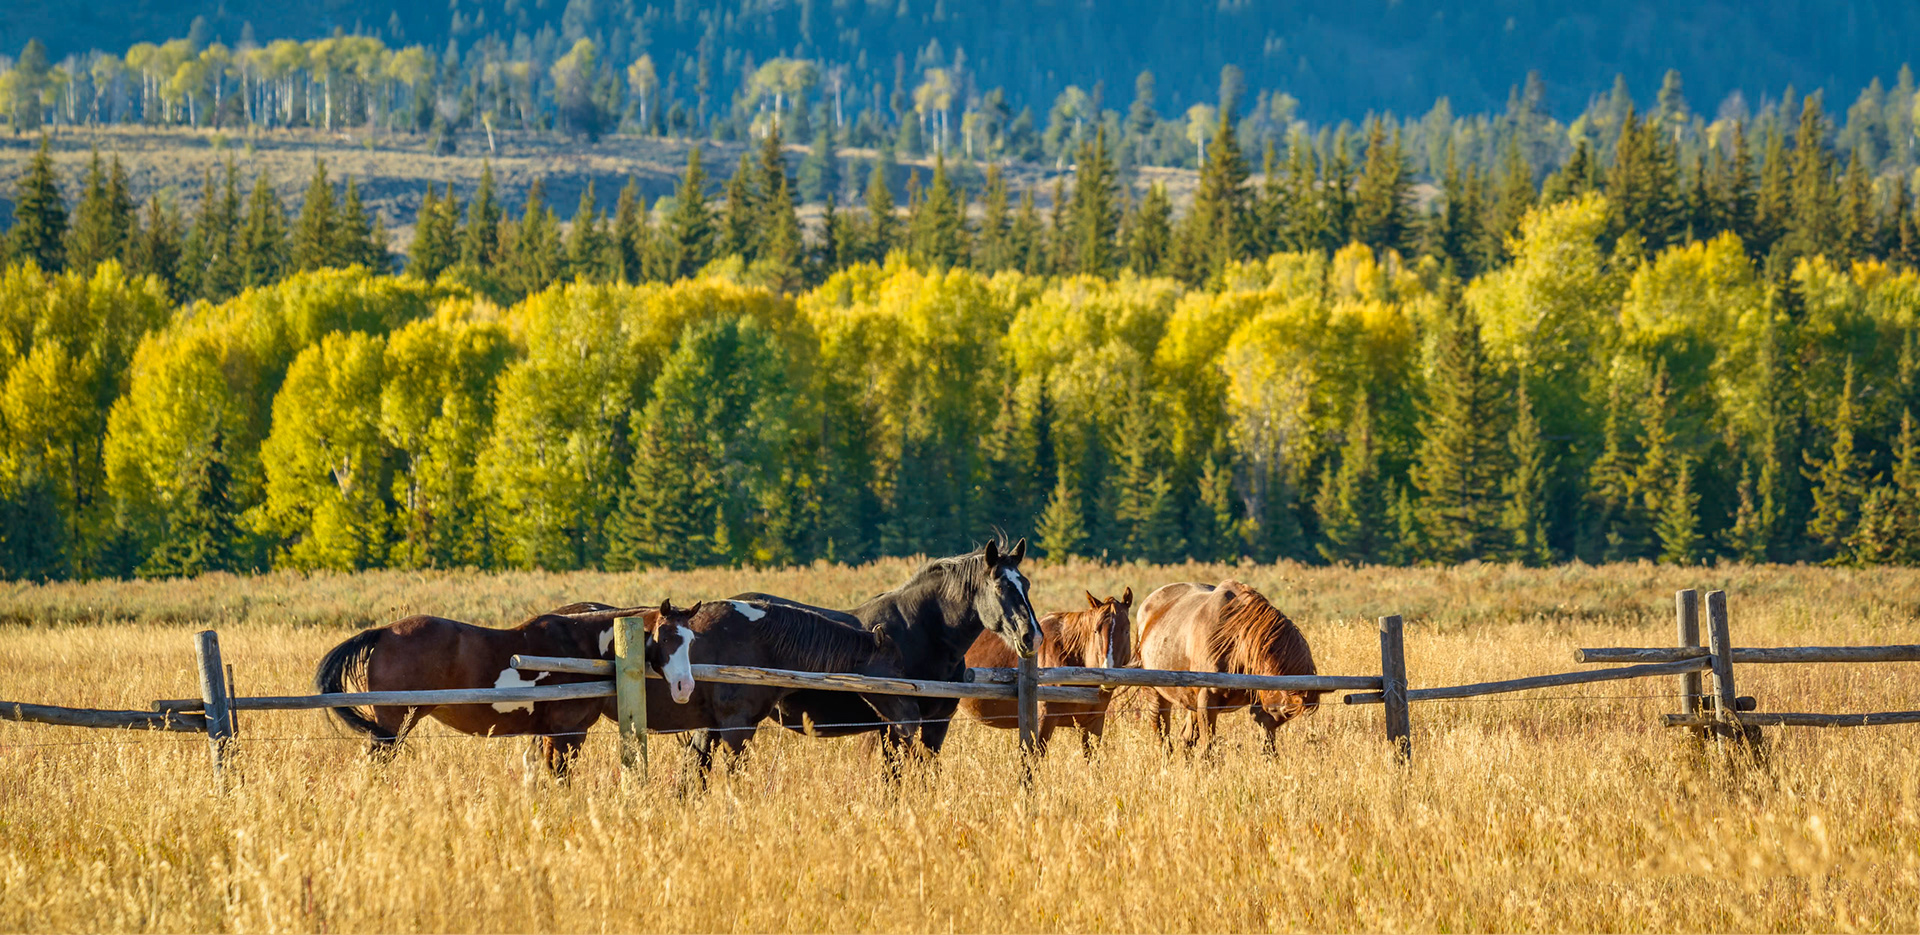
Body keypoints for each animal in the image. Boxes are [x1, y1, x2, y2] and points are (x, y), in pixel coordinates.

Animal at [312, 603, 696, 775]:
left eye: (691, 640)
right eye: (665, 637)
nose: (684, 686)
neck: (582, 645)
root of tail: (384, 632)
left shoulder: (546, 734)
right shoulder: (568, 733)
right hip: (392, 728)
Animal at [701, 537, 1042, 763]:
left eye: (1025, 584)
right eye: (1000, 586)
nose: (1032, 637)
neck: (922, 634)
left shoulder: (937, 724)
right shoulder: (893, 728)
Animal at [1135, 579, 1320, 753]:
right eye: (1283, 711)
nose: (1258, 717)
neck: (1235, 641)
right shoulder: (1207, 701)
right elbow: (1207, 749)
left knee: (1187, 738)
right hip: (1156, 695)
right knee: (1164, 739)